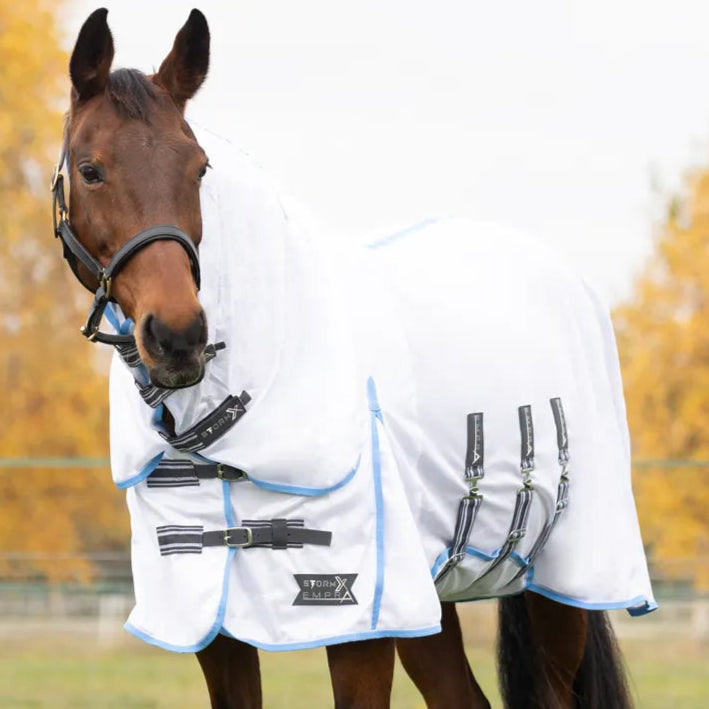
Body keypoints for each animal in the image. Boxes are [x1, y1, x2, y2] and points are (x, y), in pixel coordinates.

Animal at [52, 8, 655, 708]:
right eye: (91, 169)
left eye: (199, 168)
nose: (179, 337)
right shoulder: (215, 628)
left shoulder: (358, 621)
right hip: (433, 591)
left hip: (562, 589)